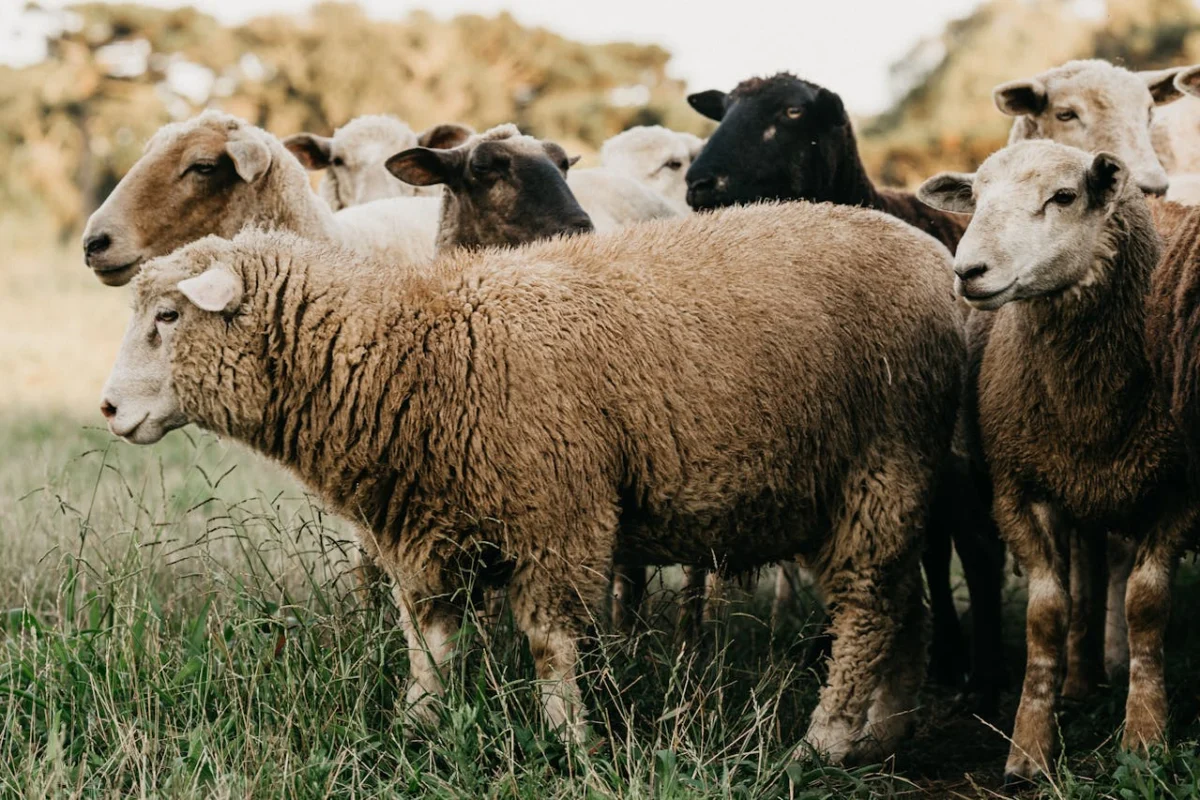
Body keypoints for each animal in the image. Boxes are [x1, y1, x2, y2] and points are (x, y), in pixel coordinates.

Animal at [99, 200, 966, 764]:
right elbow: (428, 639)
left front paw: (566, 739)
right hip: (863, 488)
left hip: (880, 467)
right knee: (905, 605)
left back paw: (827, 740)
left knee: (868, 609)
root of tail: (936, 259)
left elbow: (550, 643)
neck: (420, 352)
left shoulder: (559, 516)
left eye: (170, 316)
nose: (107, 408)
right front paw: (419, 726)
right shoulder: (424, 524)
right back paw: (884, 732)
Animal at [918, 141, 1193, 786]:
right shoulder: (1021, 488)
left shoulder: (1176, 491)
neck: (1088, 402)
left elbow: (1146, 607)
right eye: (976, 197)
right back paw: (1078, 680)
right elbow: (1047, 613)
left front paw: (1146, 738)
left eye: (1064, 196)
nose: (968, 272)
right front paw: (1029, 750)